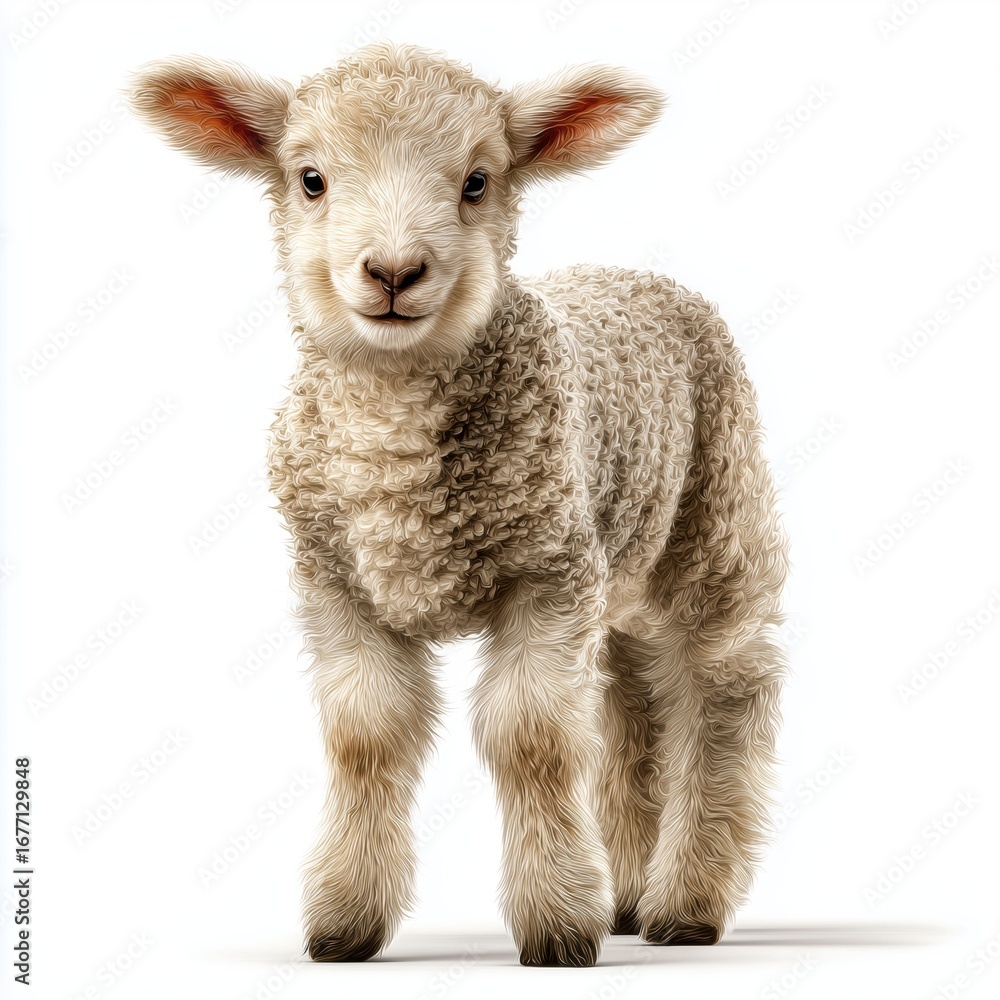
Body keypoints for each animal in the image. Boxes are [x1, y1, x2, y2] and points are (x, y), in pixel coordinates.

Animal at [127, 42, 788, 968]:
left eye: (478, 181)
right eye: (311, 179)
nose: (394, 273)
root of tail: (635, 273)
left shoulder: (546, 571)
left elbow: (532, 739)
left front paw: (557, 925)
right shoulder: (338, 581)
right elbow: (366, 736)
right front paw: (345, 921)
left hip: (718, 516)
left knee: (722, 691)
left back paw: (688, 901)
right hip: (615, 564)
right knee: (631, 706)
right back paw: (626, 893)